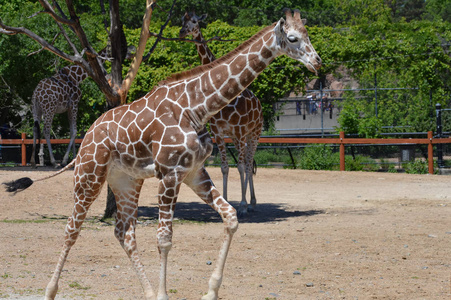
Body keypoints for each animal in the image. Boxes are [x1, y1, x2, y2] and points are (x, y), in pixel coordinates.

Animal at [180, 12, 264, 217]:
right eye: (181, 20)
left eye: (194, 21)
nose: (182, 32)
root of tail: (259, 105)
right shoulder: (219, 132)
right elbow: (225, 167)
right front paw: (226, 201)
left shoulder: (239, 131)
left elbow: (240, 166)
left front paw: (242, 205)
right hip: (239, 137)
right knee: (248, 163)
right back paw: (251, 202)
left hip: (254, 133)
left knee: (248, 164)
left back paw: (251, 203)